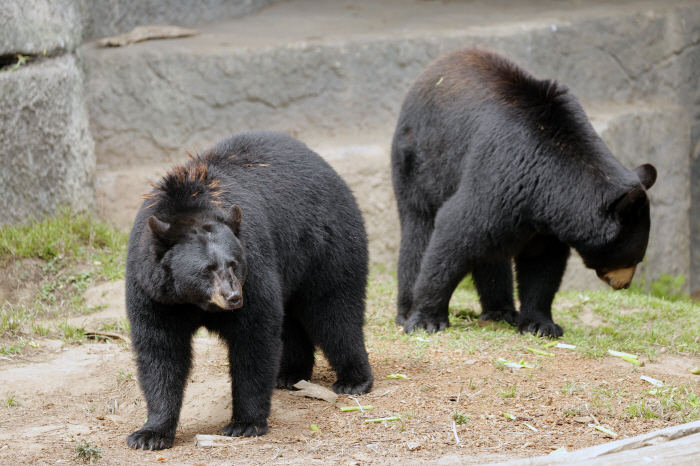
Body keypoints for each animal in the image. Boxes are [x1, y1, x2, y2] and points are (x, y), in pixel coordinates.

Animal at [125, 131, 373, 450]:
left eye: (234, 263)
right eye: (206, 269)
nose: (233, 298)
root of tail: (328, 168)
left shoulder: (254, 267)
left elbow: (254, 337)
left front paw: (245, 422)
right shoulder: (153, 292)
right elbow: (160, 351)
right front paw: (150, 434)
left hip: (326, 244)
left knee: (334, 312)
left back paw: (353, 379)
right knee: (292, 319)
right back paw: (289, 374)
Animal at [391, 47, 656, 338]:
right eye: (636, 257)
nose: (624, 284)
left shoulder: (545, 217)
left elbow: (542, 264)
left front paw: (541, 324)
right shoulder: (502, 172)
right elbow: (455, 231)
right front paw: (426, 320)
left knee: (491, 253)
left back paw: (500, 311)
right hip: (419, 158)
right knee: (419, 228)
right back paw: (406, 311)